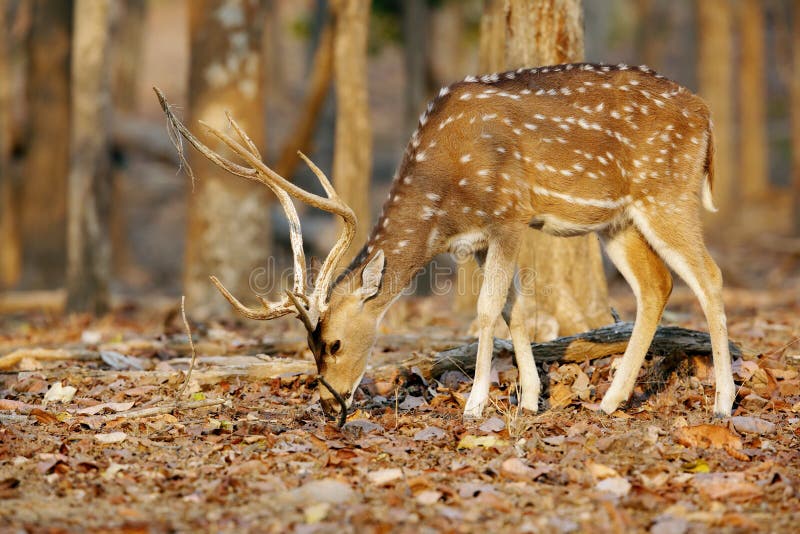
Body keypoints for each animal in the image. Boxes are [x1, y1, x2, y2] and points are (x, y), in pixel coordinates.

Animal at [156, 61, 736, 422]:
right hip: (618, 220)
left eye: (335, 343)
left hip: (668, 192)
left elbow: (485, 309)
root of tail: (707, 115)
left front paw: (476, 405)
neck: (445, 198)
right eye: (308, 347)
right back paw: (612, 400)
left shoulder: (510, 214)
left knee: (709, 275)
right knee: (656, 285)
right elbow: (514, 309)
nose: (327, 404)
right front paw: (530, 400)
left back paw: (723, 403)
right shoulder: (480, 239)